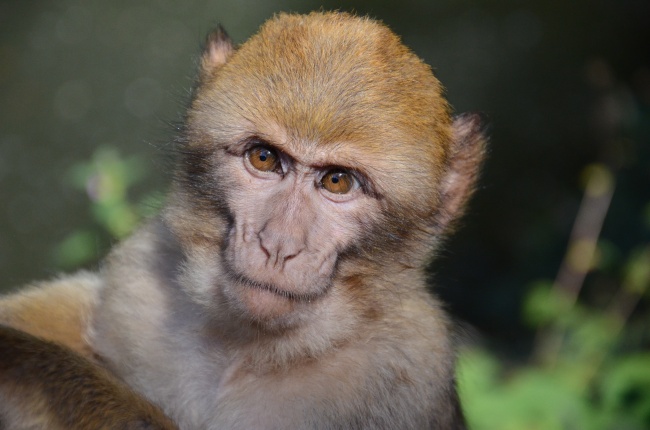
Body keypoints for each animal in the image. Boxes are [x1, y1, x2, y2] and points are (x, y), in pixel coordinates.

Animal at [0, 11, 486, 428]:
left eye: (337, 181)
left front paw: (20, 364)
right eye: (264, 157)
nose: (278, 245)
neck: (245, 349)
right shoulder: (136, 280)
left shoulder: (410, 371)